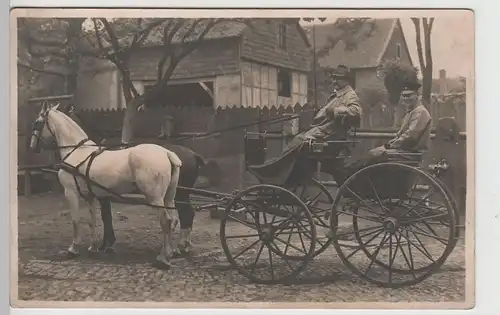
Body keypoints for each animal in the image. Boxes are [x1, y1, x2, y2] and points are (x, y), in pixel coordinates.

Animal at [28, 103, 183, 270]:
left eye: (37, 122)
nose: (32, 147)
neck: (76, 151)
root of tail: (167, 153)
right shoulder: (89, 195)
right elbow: (92, 220)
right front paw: (93, 247)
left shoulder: (71, 192)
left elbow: (76, 221)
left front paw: (73, 248)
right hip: (168, 197)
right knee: (173, 220)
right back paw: (170, 252)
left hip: (155, 198)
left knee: (166, 221)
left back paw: (163, 258)